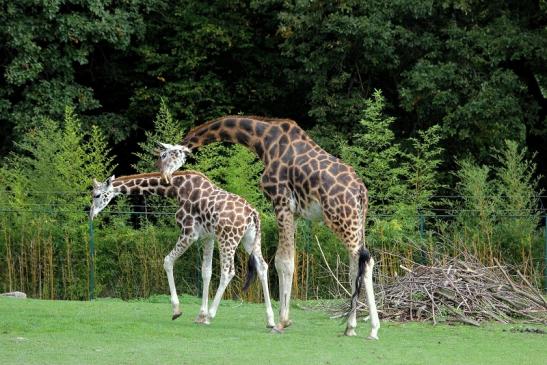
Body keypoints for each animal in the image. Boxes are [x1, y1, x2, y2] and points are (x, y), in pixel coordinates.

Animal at [92, 171, 278, 328]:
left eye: (97, 195)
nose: (91, 214)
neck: (177, 188)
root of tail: (253, 214)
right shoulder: (208, 237)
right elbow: (206, 272)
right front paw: (200, 314)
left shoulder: (189, 233)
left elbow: (167, 260)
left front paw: (177, 311)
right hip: (250, 240)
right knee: (263, 266)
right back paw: (270, 320)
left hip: (228, 238)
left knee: (228, 272)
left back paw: (211, 316)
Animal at [156, 116, 382, 338]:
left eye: (165, 155)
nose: (163, 175)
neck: (263, 141)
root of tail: (361, 191)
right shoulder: (294, 212)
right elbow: (285, 261)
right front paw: (281, 319)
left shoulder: (281, 202)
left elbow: (283, 262)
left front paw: (282, 322)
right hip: (356, 222)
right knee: (357, 265)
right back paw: (351, 327)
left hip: (341, 219)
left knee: (366, 262)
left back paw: (372, 329)